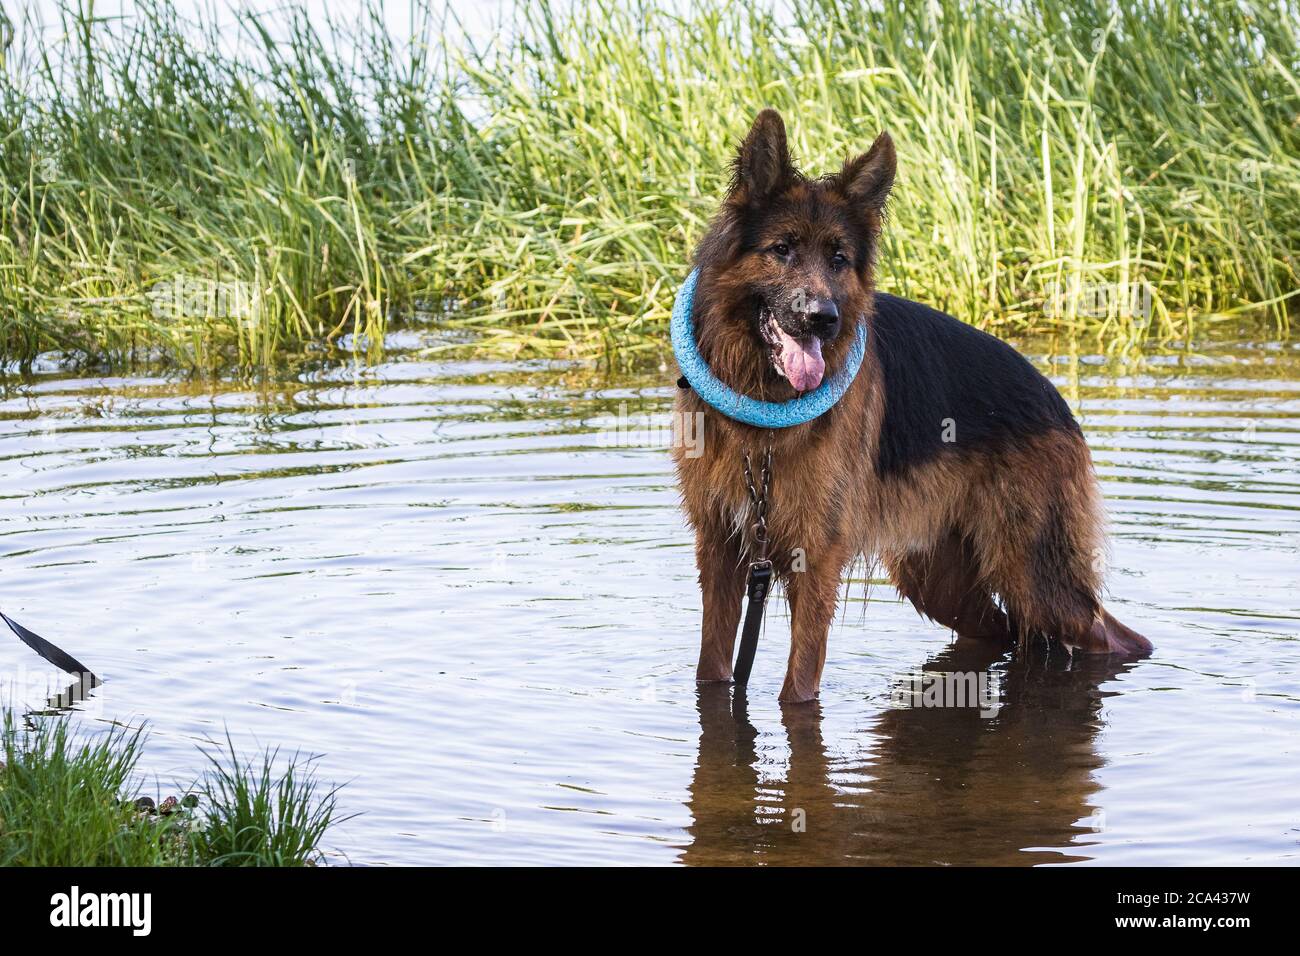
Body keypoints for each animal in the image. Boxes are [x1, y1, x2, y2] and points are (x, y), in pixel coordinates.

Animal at [670, 113, 1149, 712]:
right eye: (782, 249)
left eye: (838, 259)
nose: (822, 318)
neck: (762, 423)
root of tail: (1054, 398)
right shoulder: (721, 554)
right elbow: (711, 672)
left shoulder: (815, 562)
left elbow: (797, 690)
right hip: (939, 579)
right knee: (1004, 631)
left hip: (1036, 577)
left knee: (1109, 636)